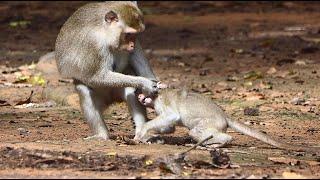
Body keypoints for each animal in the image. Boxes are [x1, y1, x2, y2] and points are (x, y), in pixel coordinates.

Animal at [55, 0, 161, 140]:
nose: (132, 45)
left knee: (130, 88)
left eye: (136, 34)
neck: (105, 34)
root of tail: (111, 100)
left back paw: (141, 133)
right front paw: (145, 82)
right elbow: (97, 77)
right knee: (84, 90)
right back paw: (102, 135)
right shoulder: (94, 44)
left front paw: (153, 86)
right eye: (128, 34)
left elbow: (136, 58)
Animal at [136, 88, 320, 153]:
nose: (139, 97)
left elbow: (172, 116)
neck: (157, 96)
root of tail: (223, 115)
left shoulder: (161, 103)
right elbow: (170, 126)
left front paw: (143, 131)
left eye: (142, 92)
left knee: (196, 131)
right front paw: (151, 136)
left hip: (212, 123)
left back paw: (219, 142)